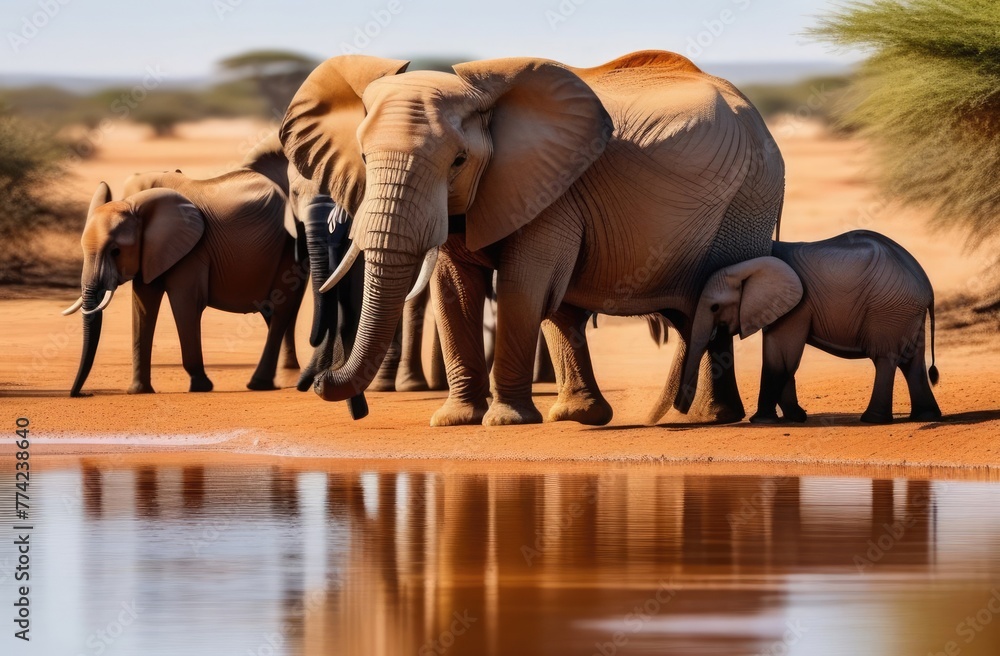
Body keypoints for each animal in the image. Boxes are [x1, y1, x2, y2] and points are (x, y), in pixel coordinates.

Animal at [64, 166, 306, 397]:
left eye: (116, 251)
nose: (82, 394)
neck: (134, 203)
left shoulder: (192, 252)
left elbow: (186, 305)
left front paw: (201, 387)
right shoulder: (151, 252)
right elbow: (143, 307)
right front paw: (138, 391)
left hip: (289, 248)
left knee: (280, 309)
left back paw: (259, 384)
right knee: (272, 312)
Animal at [279, 51, 784, 427]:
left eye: (458, 161)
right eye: (364, 157)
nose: (326, 386)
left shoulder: (548, 188)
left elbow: (524, 286)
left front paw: (504, 422)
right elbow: (453, 288)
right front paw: (457, 421)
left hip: (749, 197)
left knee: (710, 300)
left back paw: (706, 418)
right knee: (677, 313)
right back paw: (613, 416)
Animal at [678, 231, 941, 424]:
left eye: (714, 307)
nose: (680, 411)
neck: (749, 263)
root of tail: (928, 286)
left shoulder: (797, 307)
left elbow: (781, 356)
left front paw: (763, 421)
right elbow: (782, 357)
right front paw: (796, 418)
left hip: (888, 311)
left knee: (885, 358)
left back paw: (872, 420)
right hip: (907, 315)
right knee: (912, 362)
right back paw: (925, 416)